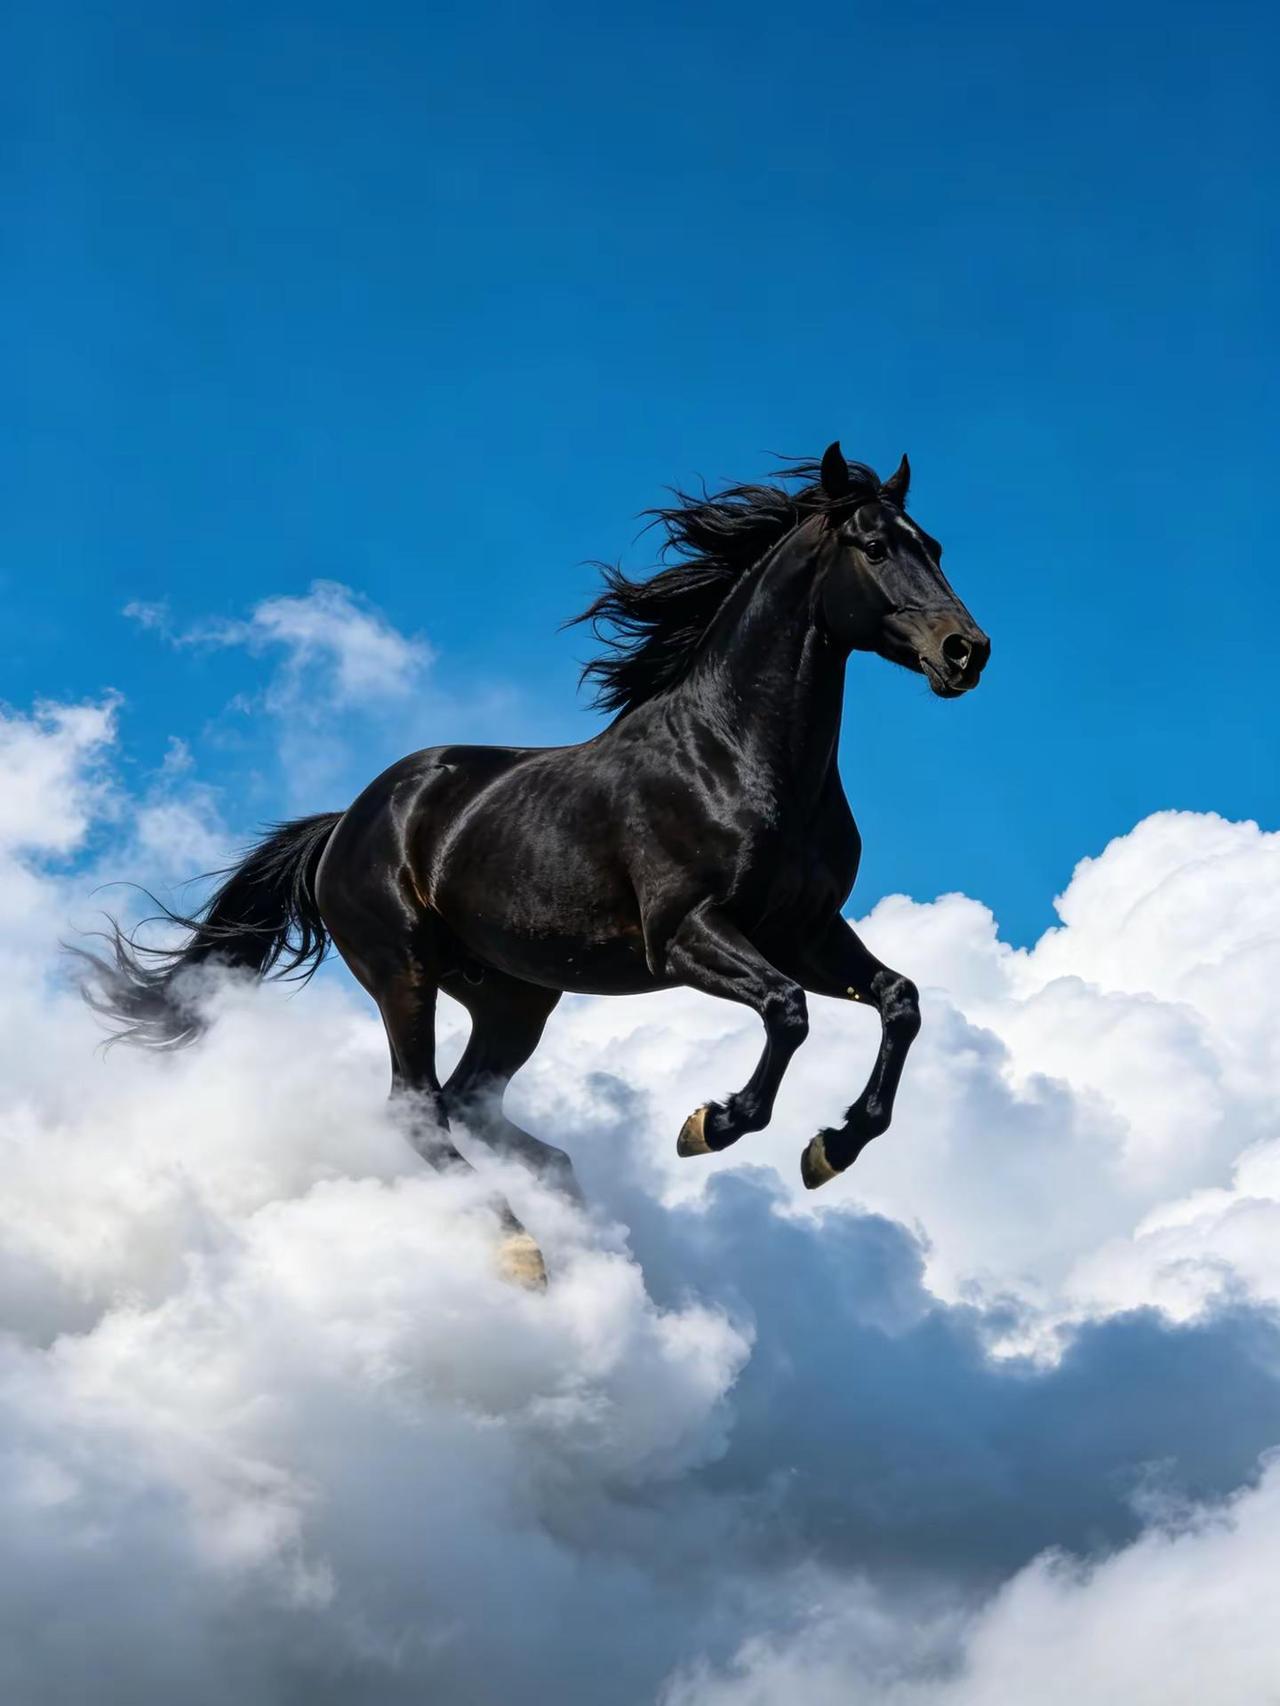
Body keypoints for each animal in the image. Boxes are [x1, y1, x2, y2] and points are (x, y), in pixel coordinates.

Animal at [80, 443, 989, 1286]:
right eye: (874, 545)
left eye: (935, 545)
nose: (965, 651)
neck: (736, 757)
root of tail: (348, 823)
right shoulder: (686, 933)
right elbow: (788, 1011)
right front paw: (711, 1124)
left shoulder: (806, 930)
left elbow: (900, 1002)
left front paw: (833, 1146)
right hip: (403, 969)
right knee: (418, 1108)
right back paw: (523, 1252)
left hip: (513, 996)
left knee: (468, 1103)